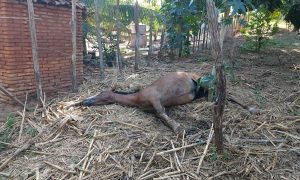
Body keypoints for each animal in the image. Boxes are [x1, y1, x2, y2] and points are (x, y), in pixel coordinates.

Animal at [78, 71, 255, 134]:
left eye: (101, 94)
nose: (85, 101)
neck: (138, 97)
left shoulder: (155, 99)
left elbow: (161, 114)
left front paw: (179, 129)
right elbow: (160, 115)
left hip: (205, 85)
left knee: (225, 94)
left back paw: (250, 108)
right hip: (203, 94)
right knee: (222, 97)